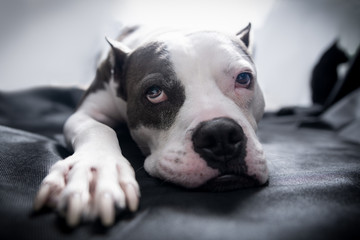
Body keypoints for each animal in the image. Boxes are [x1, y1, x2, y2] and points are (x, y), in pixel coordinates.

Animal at [34, 23, 268, 227]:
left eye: (243, 78)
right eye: (154, 93)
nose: (220, 134)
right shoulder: (86, 112)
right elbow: (98, 127)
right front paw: (95, 170)